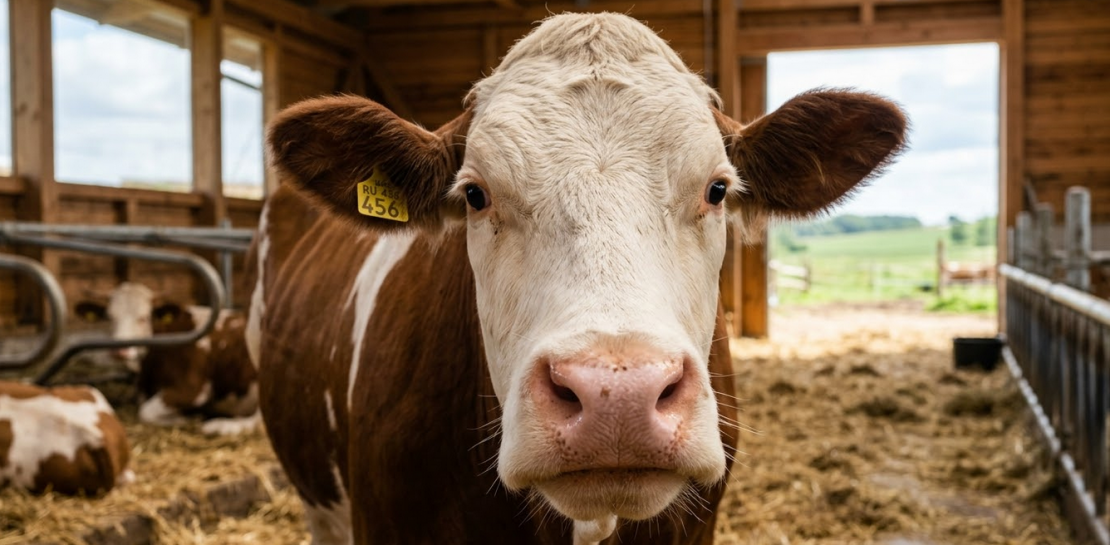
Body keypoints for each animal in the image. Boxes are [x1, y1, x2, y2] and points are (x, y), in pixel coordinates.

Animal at [76, 283, 260, 436]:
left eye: (144, 318)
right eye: (109, 317)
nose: (120, 351)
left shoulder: (193, 390)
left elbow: (145, 412)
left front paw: (185, 418)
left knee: (257, 422)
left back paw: (222, 426)